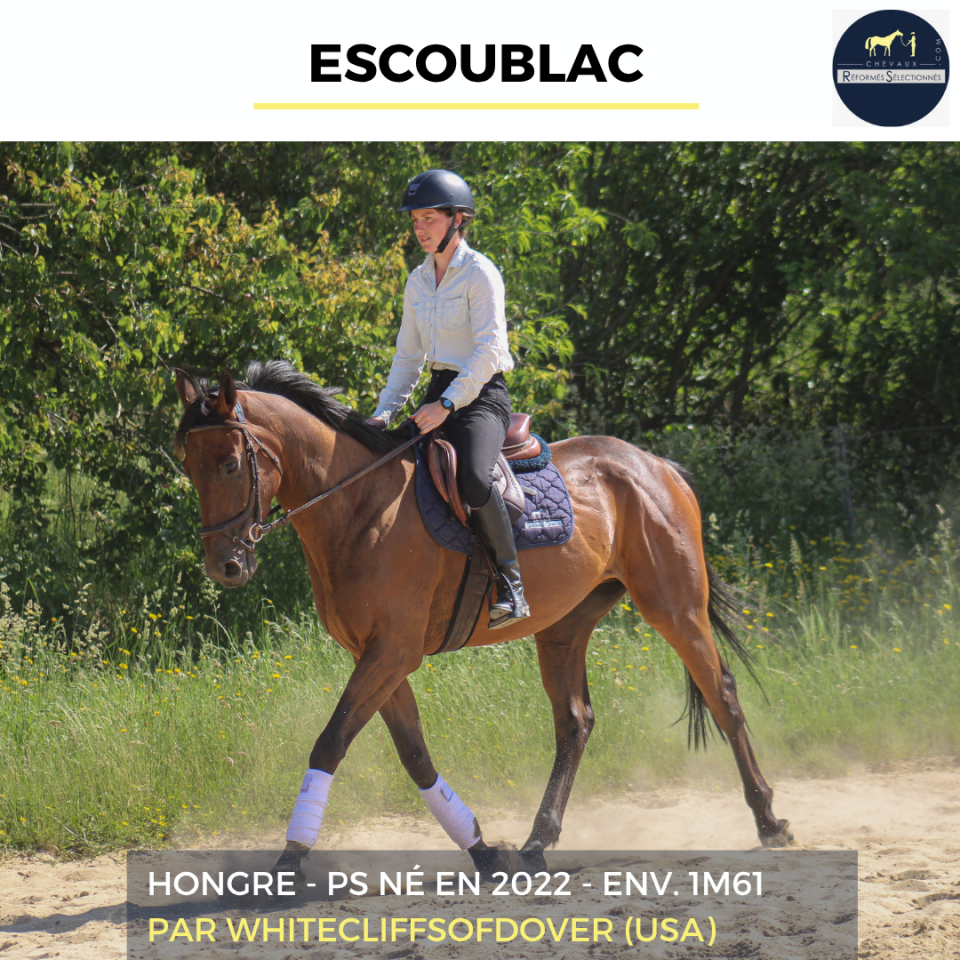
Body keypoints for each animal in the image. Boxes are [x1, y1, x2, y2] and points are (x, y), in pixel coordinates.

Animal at [174, 361, 793, 878]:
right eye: (189, 466)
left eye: (230, 464)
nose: (225, 566)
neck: (362, 507)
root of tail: (656, 464)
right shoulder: (378, 656)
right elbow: (415, 756)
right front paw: (482, 848)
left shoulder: (392, 652)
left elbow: (330, 743)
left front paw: (289, 858)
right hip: (564, 627)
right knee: (575, 722)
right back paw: (537, 842)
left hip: (674, 608)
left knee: (722, 693)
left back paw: (769, 821)